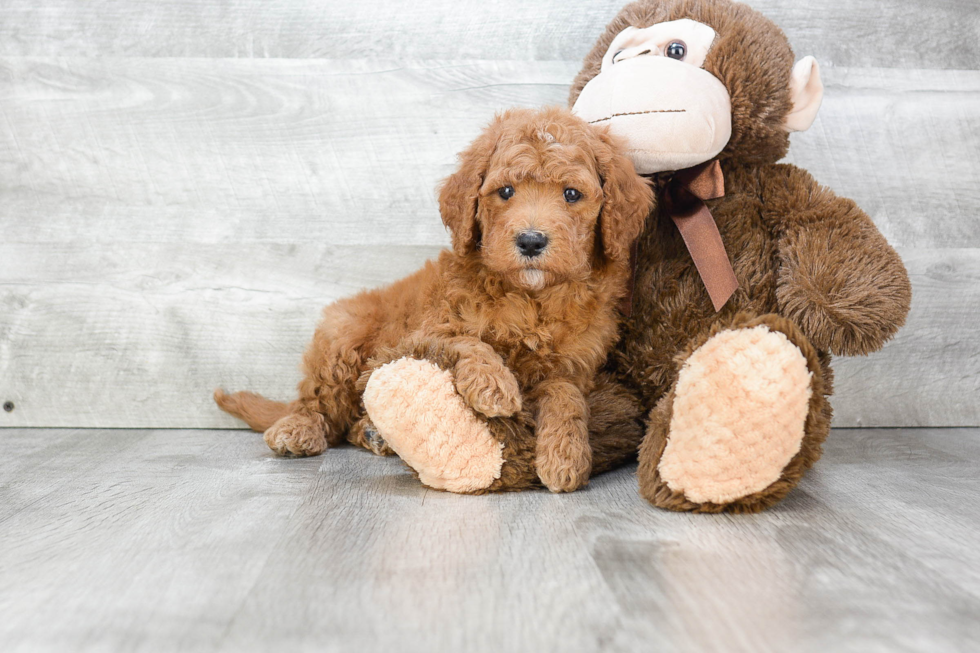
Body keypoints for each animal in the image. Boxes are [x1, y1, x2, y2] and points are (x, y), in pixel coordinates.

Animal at [218, 107, 656, 492]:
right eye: (506, 191)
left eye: (571, 194)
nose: (531, 241)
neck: (532, 299)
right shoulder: (418, 334)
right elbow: (464, 340)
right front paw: (493, 383)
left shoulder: (574, 366)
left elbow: (565, 395)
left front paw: (565, 456)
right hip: (342, 334)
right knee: (318, 402)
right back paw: (299, 428)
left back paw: (374, 433)